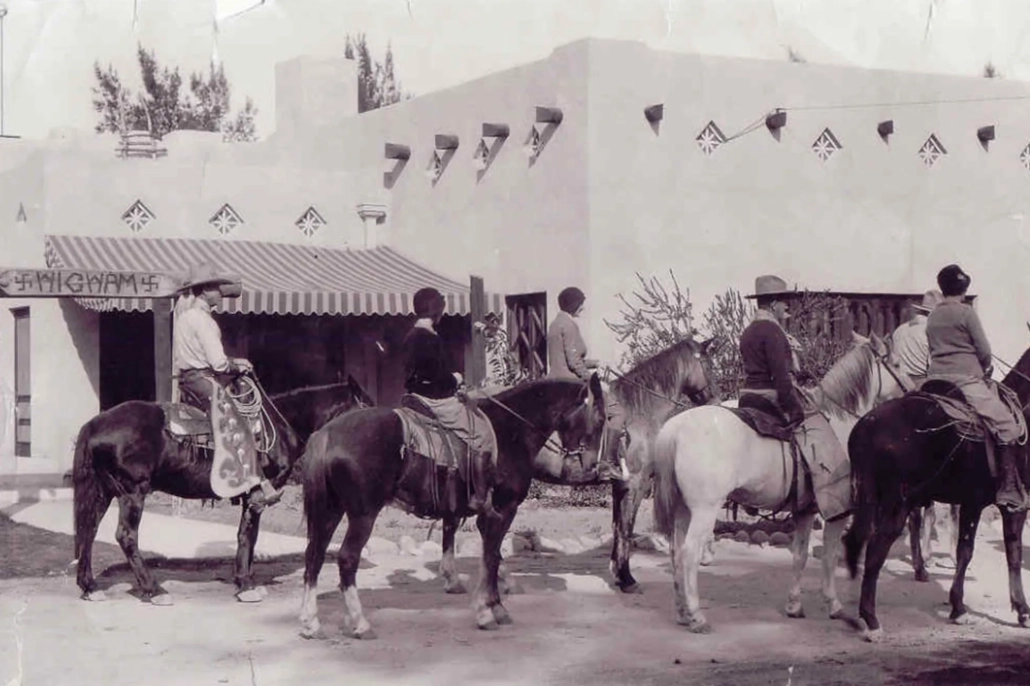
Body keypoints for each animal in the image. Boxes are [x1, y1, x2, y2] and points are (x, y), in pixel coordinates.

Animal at [72, 374, 372, 605]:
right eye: (367, 405)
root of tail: (94, 423)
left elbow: (249, 537)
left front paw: (246, 580)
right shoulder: (257, 495)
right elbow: (247, 536)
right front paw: (246, 586)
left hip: (104, 490)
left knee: (88, 530)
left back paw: (90, 587)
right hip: (132, 491)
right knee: (126, 536)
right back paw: (154, 590)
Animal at [298, 374, 609, 634]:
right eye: (600, 418)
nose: (593, 466)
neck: (511, 431)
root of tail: (326, 435)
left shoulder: (483, 514)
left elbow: (490, 555)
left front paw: (491, 603)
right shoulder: (503, 509)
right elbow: (491, 556)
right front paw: (489, 611)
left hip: (329, 510)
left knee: (314, 555)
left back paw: (311, 621)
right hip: (363, 514)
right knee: (347, 559)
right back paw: (360, 622)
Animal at [432, 333, 716, 597]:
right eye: (708, 363)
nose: (714, 399)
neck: (640, 411)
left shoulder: (619, 485)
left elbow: (617, 527)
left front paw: (617, 572)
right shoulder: (634, 484)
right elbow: (626, 528)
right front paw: (627, 579)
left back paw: (459, 579)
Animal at [650, 331, 910, 630]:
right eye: (897, 364)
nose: (913, 389)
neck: (838, 423)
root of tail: (674, 428)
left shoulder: (805, 511)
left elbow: (799, 556)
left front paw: (794, 606)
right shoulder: (837, 512)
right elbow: (830, 557)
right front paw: (833, 605)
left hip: (683, 509)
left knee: (676, 552)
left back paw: (682, 611)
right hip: (704, 510)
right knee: (690, 553)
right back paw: (696, 615)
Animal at [840, 348, 1030, 642]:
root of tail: (866, 426)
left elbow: (999, 551)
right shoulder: (1000, 505)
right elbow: (990, 552)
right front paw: (965, 607)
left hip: (870, 501)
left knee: (855, 543)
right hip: (896, 506)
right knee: (874, 552)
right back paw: (871, 621)